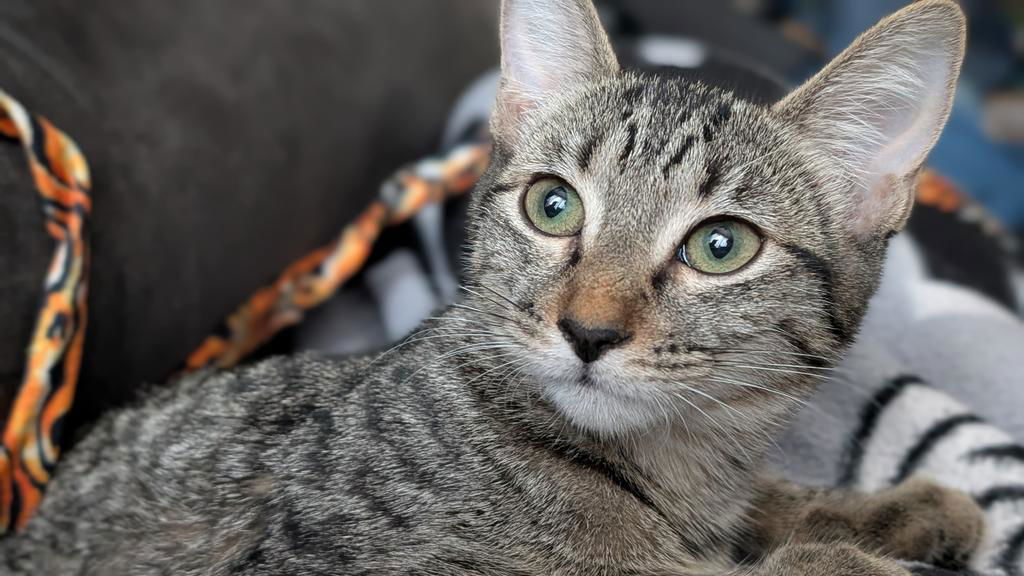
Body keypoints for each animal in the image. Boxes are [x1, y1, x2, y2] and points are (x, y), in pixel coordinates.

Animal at [2, 1, 983, 573]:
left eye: (719, 247)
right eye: (554, 206)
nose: (587, 331)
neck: (677, 467)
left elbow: (766, 507)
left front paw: (886, 510)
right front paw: (849, 554)